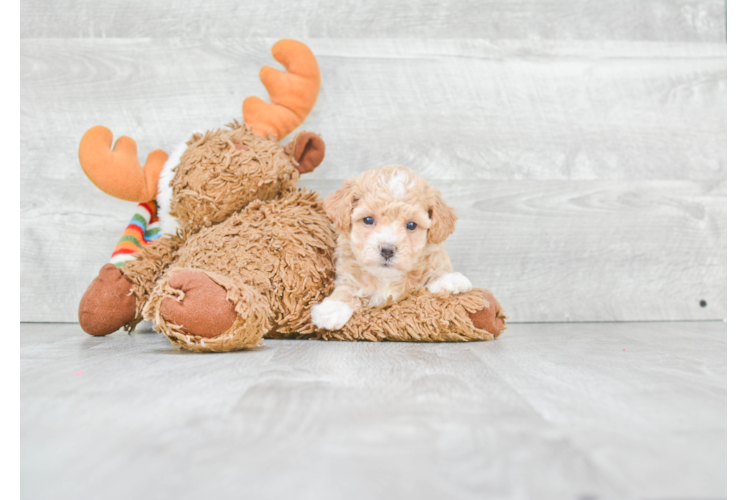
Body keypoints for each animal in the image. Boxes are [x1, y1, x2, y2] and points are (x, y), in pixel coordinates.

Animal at [312, 164, 470, 334]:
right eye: (368, 220)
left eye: (411, 225)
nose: (387, 250)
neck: (386, 278)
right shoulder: (347, 274)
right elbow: (346, 289)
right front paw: (332, 309)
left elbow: (433, 271)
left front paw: (449, 279)